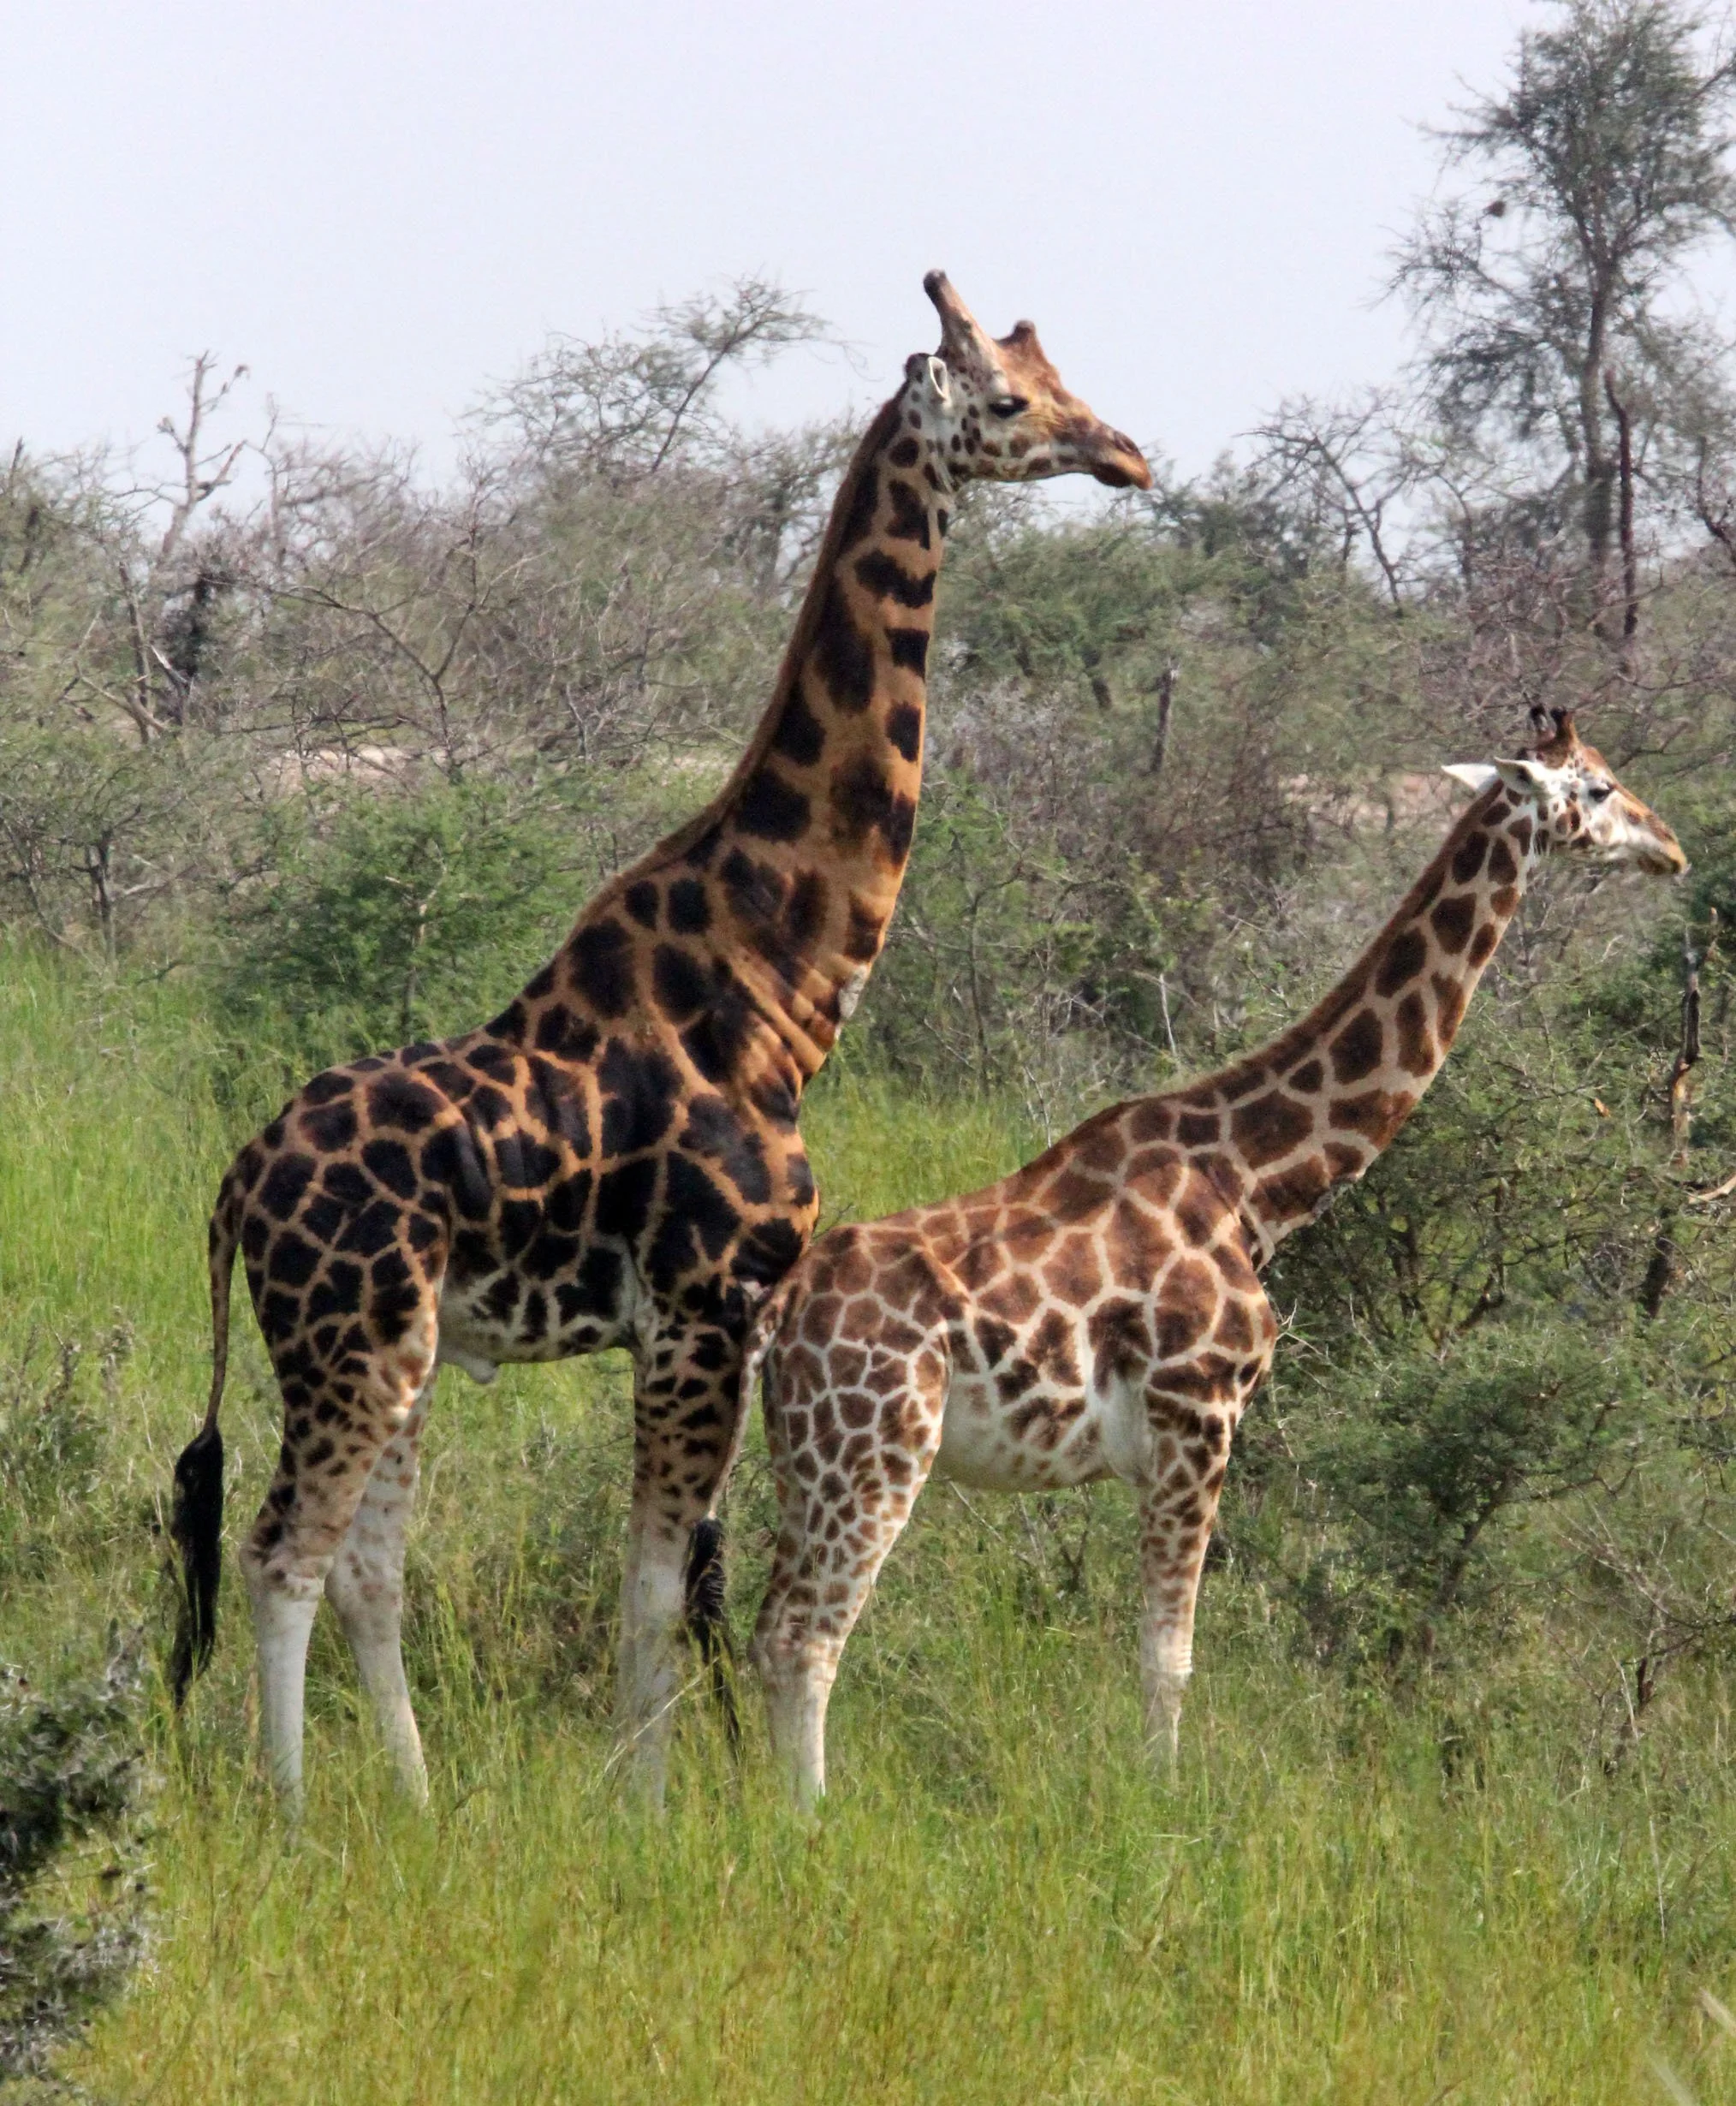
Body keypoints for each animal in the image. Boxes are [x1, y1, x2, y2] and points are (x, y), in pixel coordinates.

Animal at [168, 271, 1151, 1810]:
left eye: (1061, 382)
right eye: (1009, 400)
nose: (1128, 457)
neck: (779, 986)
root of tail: (233, 1191)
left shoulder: (701, 1326)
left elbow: (671, 1580)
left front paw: (650, 1797)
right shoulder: (708, 1308)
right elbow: (654, 1585)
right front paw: (650, 1808)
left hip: (401, 1347)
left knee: (370, 1568)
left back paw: (419, 1801)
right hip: (351, 1341)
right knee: (285, 1558)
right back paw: (298, 1810)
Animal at [742, 713, 1685, 1805]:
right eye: (1602, 787)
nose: (1673, 849)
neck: (1252, 1183)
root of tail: (784, 1317)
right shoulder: (1202, 1418)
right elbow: (1171, 1655)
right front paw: (1165, 1803)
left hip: (804, 1458)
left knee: (759, 1625)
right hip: (879, 1450)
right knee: (808, 1638)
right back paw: (811, 1817)